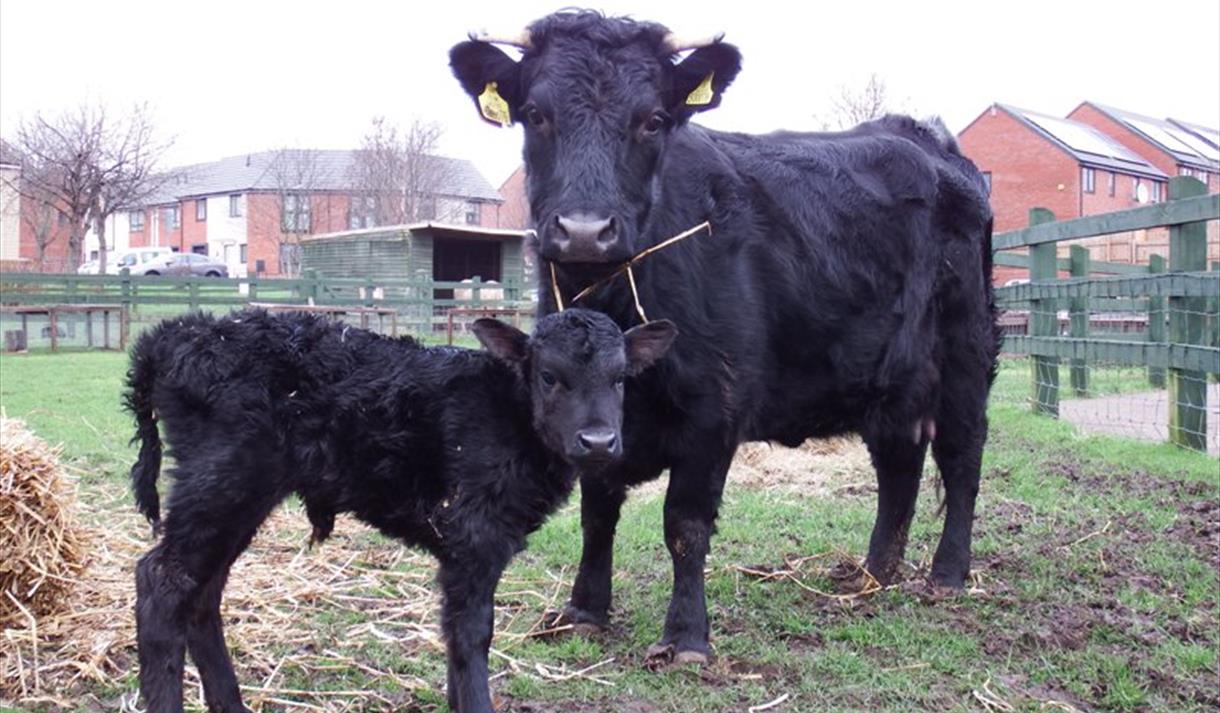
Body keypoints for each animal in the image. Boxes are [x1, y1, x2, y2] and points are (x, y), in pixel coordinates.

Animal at [126, 307, 678, 713]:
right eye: (548, 376)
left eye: (620, 380)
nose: (599, 441)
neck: (508, 412)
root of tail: (175, 333)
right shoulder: (473, 535)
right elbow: (474, 632)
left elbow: (455, 633)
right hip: (222, 480)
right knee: (163, 579)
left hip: (236, 496)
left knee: (202, 591)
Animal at [451, 11, 1000, 664]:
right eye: (535, 113)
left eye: (652, 119)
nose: (585, 230)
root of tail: (926, 139)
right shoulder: (586, 409)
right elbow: (597, 510)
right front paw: (585, 610)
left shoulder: (715, 409)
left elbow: (684, 525)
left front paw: (687, 636)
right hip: (888, 376)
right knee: (900, 462)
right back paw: (872, 574)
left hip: (967, 354)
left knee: (962, 458)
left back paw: (947, 574)